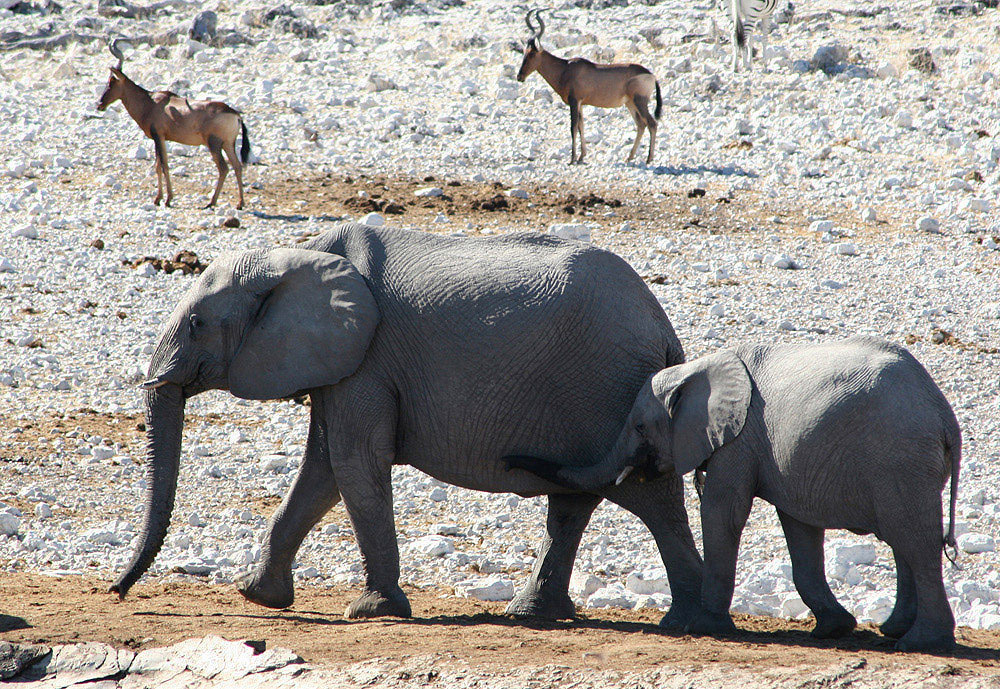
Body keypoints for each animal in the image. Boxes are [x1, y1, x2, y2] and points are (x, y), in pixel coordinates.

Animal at [111, 222, 704, 624]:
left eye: (196, 323)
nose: (117, 592)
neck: (292, 255)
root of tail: (664, 331)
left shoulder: (368, 359)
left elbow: (352, 461)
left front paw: (371, 611)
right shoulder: (343, 362)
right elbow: (324, 467)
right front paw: (258, 595)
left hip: (605, 389)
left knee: (651, 499)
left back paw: (688, 623)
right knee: (573, 501)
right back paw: (531, 615)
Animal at [508, 338, 960, 652]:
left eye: (639, 426)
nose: (510, 460)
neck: (695, 369)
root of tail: (944, 416)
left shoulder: (738, 439)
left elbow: (722, 511)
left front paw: (704, 627)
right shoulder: (780, 453)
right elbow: (799, 526)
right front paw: (834, 629)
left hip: (900, 458)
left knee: (915, 540)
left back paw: (921, 643)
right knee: (903, 538)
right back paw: (893, 630)